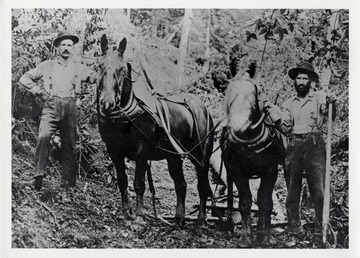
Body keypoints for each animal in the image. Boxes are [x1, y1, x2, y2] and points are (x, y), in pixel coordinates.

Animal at [97, 33, 214, 226]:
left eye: (121, 69)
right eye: (99, 65)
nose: (107, 103)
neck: (127, 113)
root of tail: (203, 107)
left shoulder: (141, 153)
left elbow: (138, 184)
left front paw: (139, 216)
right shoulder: (114, 150)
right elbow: (122, 180)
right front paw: (126, 212)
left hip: (200, 156)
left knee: (202, 185)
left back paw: (201, 219)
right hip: (173, 156)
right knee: (181, 184)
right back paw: (179, 219)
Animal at [221, 61, 286, 247]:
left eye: (253, 93)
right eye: (229, 91)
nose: (237, 128)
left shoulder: (271, 170)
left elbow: (265, 202)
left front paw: (265, 236)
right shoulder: (237, 171)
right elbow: (245, 202)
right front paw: (245, 237)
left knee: (264, 198)